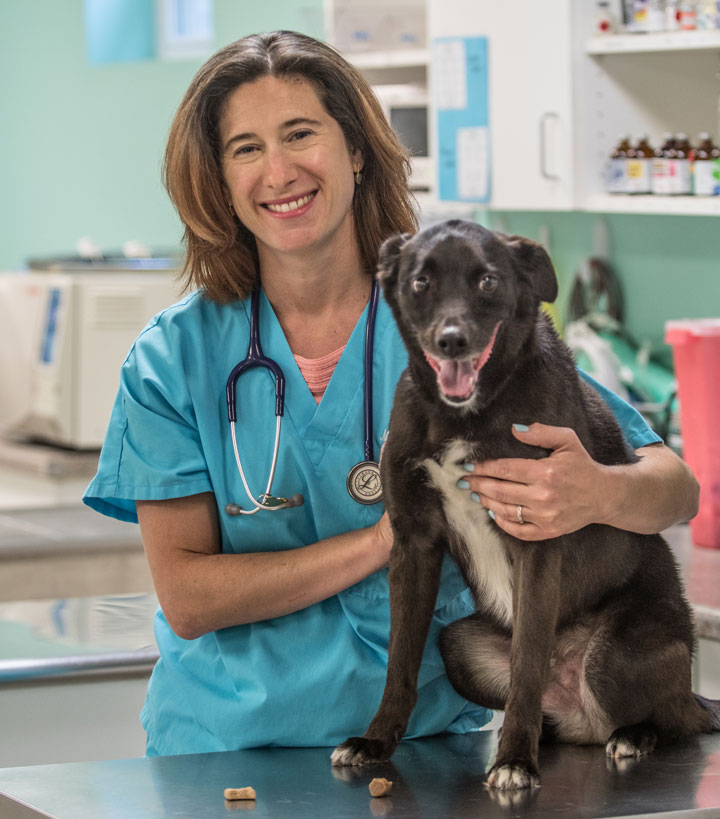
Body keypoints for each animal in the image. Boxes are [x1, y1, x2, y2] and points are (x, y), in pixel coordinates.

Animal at [334, 218, 720, 788]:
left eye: (488, 281)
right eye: (421, 282)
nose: (452, 340)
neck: (468, 414)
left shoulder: (537, 544)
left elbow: (526, 666)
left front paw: (515, 759)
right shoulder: (413, 546)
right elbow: (398, 663)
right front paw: (375, 740)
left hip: (616, 653)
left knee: (670, 719)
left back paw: (633, 736)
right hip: (459, 648)